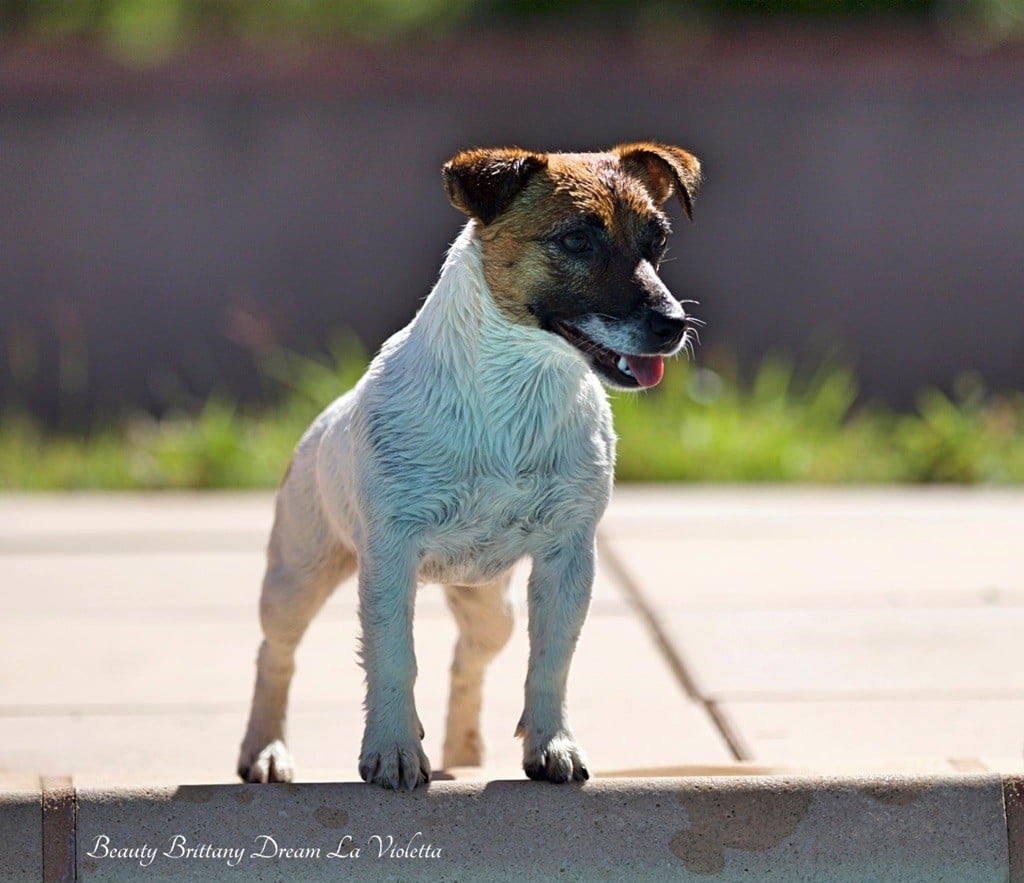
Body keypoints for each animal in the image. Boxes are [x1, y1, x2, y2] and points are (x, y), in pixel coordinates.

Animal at [237, 141, 704, 790]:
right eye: (576, 242)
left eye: (657, 242)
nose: (672, 324)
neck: (517, 391)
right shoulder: (389, 558)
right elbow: (393, 659)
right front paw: (393, 750)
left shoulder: (567, 558)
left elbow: (551, 662)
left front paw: (551, 745)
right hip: (296, 579)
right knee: (274, 654)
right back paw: (266, 749)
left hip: (492, 610)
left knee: (468, 660)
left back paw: (462, 751)